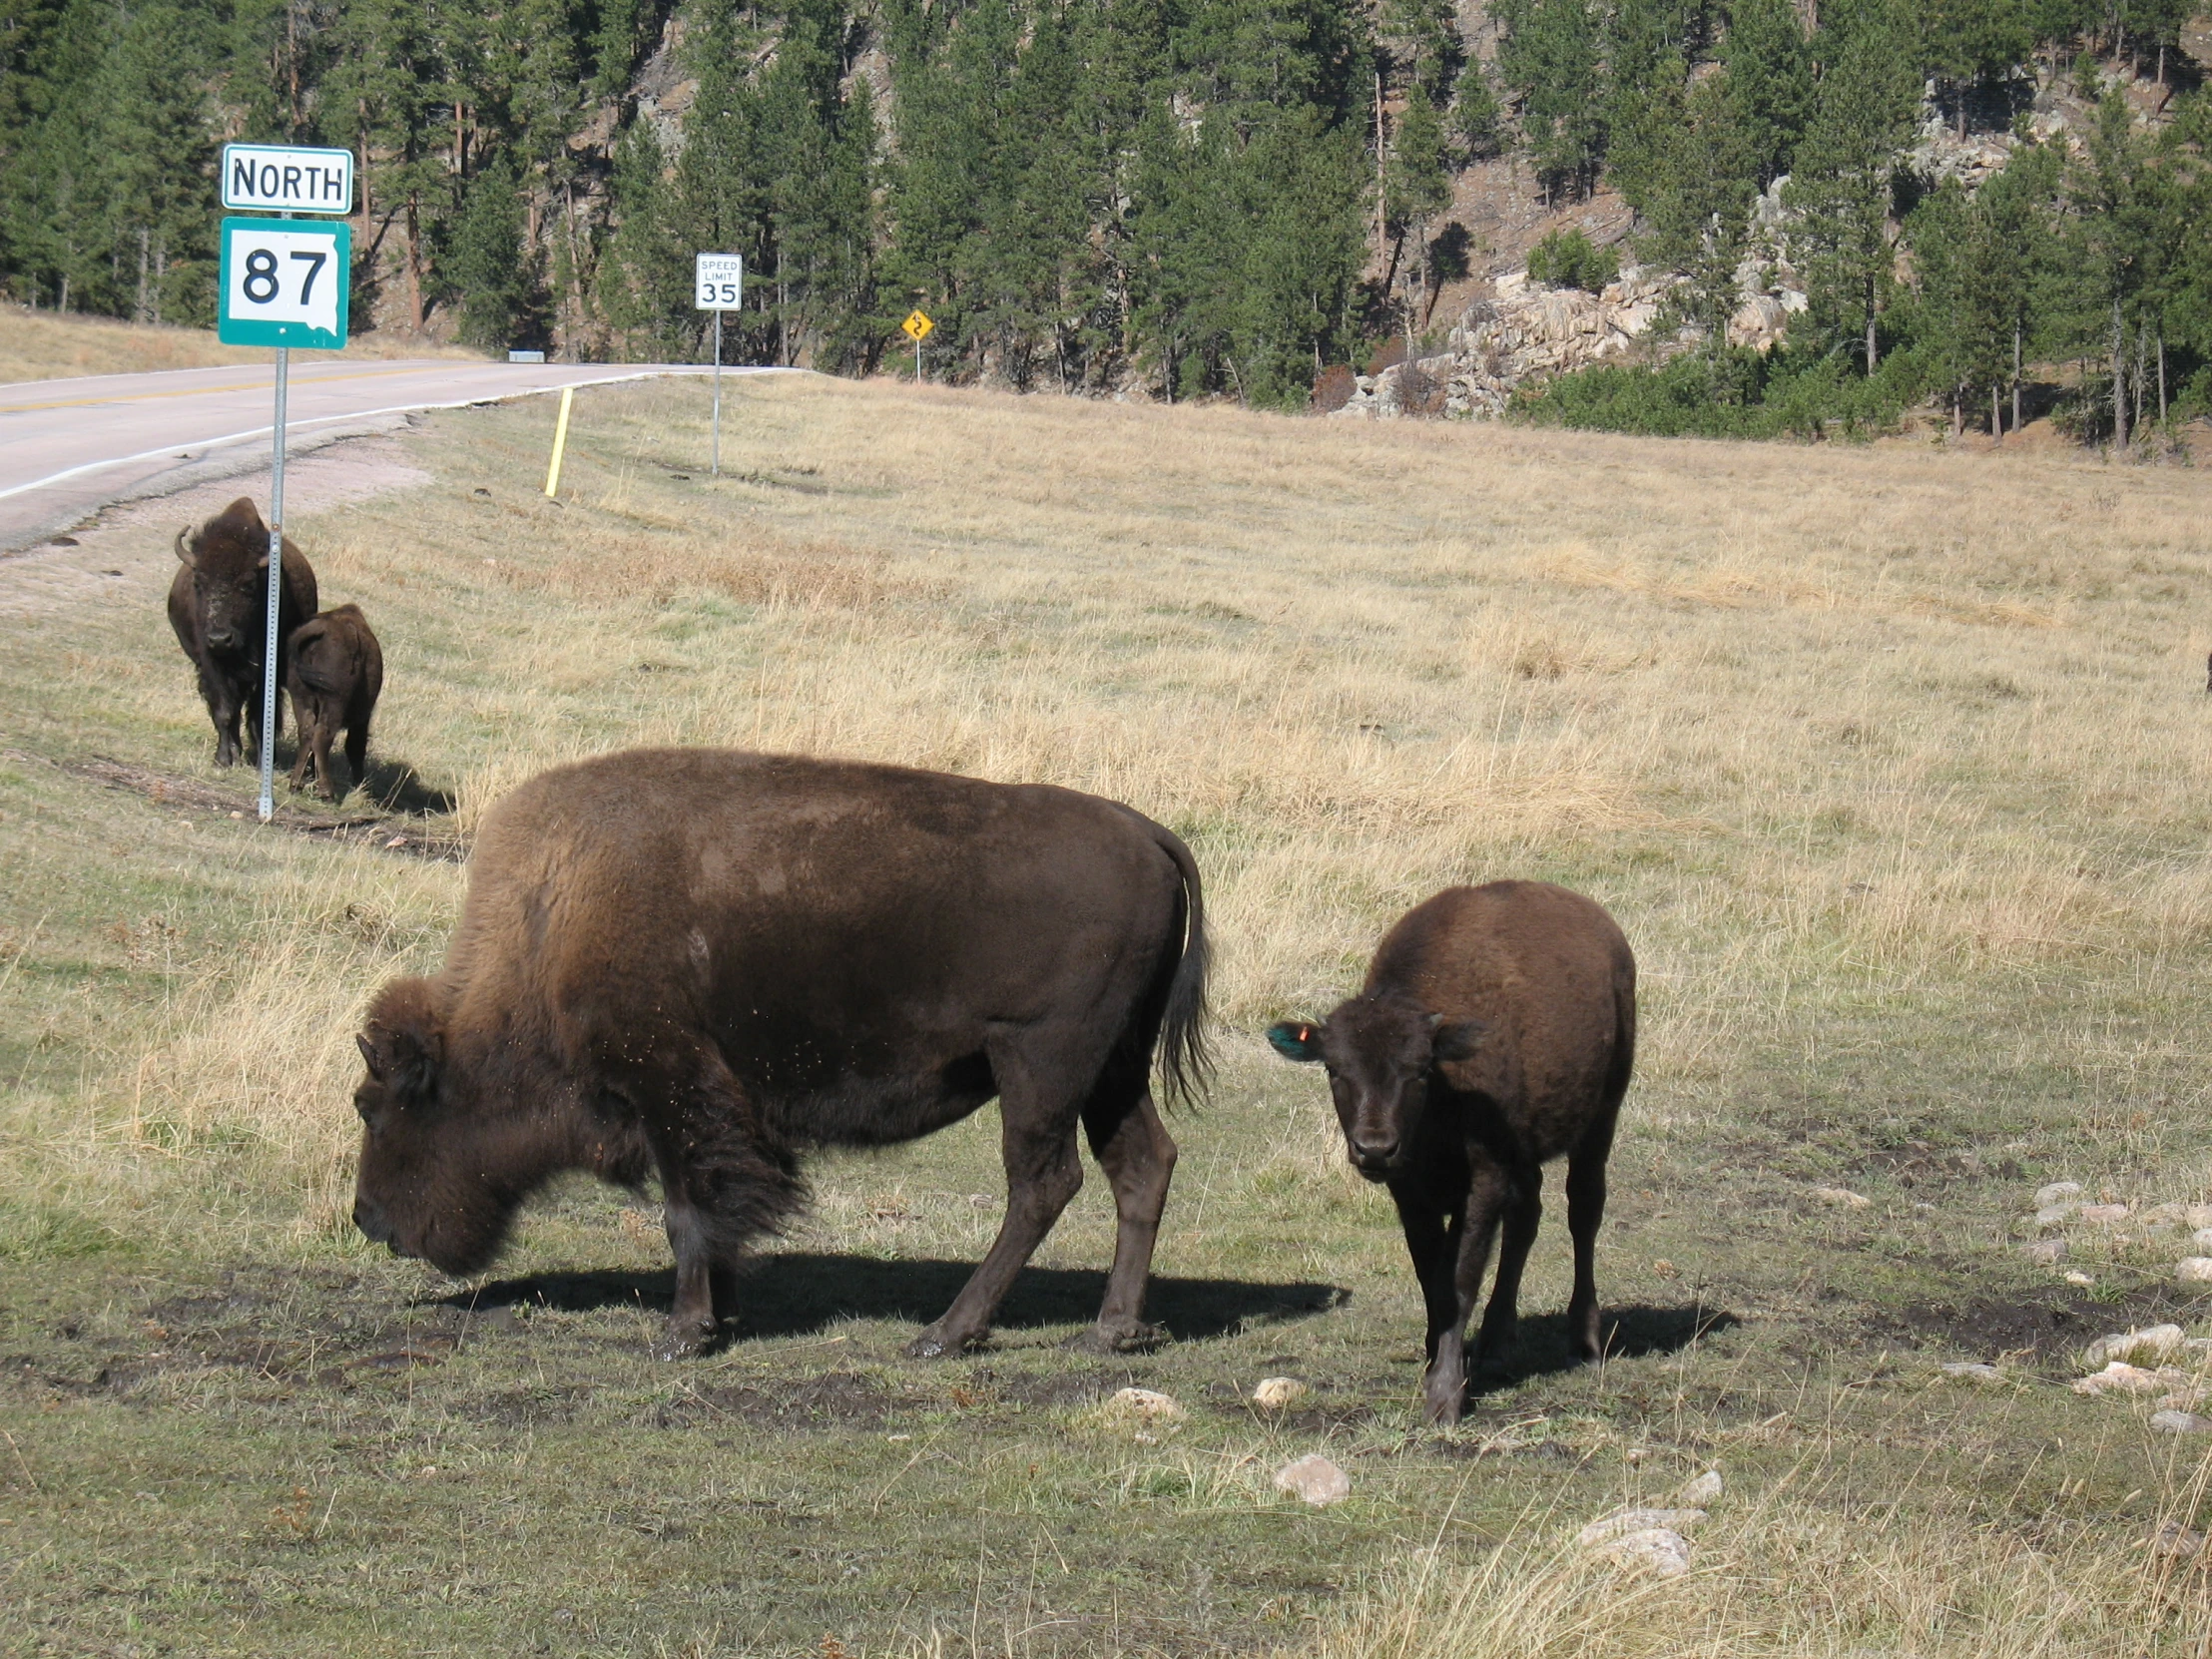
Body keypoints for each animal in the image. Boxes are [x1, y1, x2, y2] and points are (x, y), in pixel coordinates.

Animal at [168, 499, 318, 774]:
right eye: (198, 582)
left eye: (248, 584)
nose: (220, 639)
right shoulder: (212, 665)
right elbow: (224, 711)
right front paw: (224, 760)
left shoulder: (267, 669)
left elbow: (261, 714)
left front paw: (263, 763)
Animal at [287, 606, 386, 805]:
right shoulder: (362, 718)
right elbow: (356, 747)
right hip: (334, 701)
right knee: (322, 735)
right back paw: (327, 793)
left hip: (301, 696)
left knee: (306, 732)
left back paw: (295, 785)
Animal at [349, 752, 1212, 1363]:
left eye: (373, 1106)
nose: (368, 1219)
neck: (553, 914)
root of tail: (1149, 835)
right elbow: (713, 1212)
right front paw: (720, 1313)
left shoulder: (671, 1088)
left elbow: (688, 1210)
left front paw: (684, 1333)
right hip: (1110, 1069)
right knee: (1141, 1163)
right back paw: (1109, 1331)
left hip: (1040, 1064)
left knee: (1042, 1184)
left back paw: (943, 1334)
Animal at [1274, 884, 1636, 1432]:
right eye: (1334, 1068)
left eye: (1420, 1069)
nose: (1374, 1148)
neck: (1443, 1098)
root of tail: (1607, 931)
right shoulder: (1412, 1193)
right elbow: (1430, 1274)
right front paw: (1438, 1359)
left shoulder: (1483, 1182)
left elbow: (1459, 1280)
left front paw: (1445, 1395)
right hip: (1525, 1154)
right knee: (1527, 1218)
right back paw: (1495, 1343)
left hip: (1601, 1117)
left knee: (1583, 1212)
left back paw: (1585, 1342)